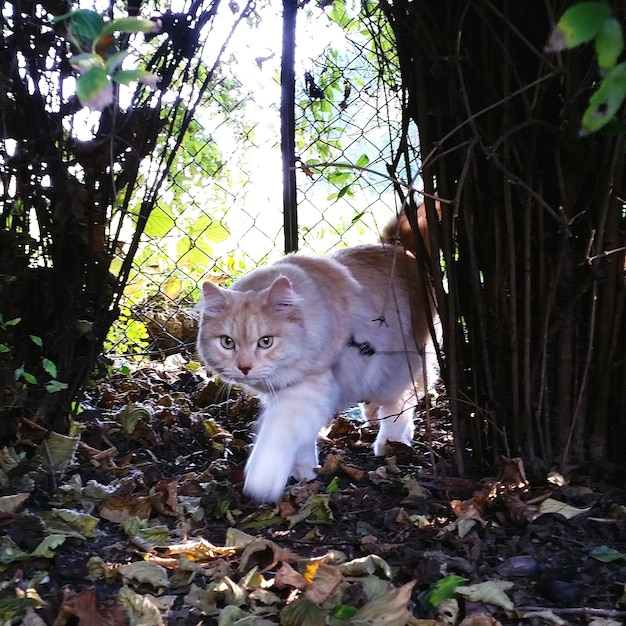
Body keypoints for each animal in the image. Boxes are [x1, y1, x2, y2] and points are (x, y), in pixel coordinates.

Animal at [197, 236, 436, 500]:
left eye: (265, 342)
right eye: (227, 343)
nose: (244, 367)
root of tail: (405, 252)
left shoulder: (307, 392)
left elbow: (277, 435)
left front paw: (263, 479)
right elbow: (301, 442)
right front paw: (305, 471)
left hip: (396, 371)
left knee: (400, 406)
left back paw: (391, 443)